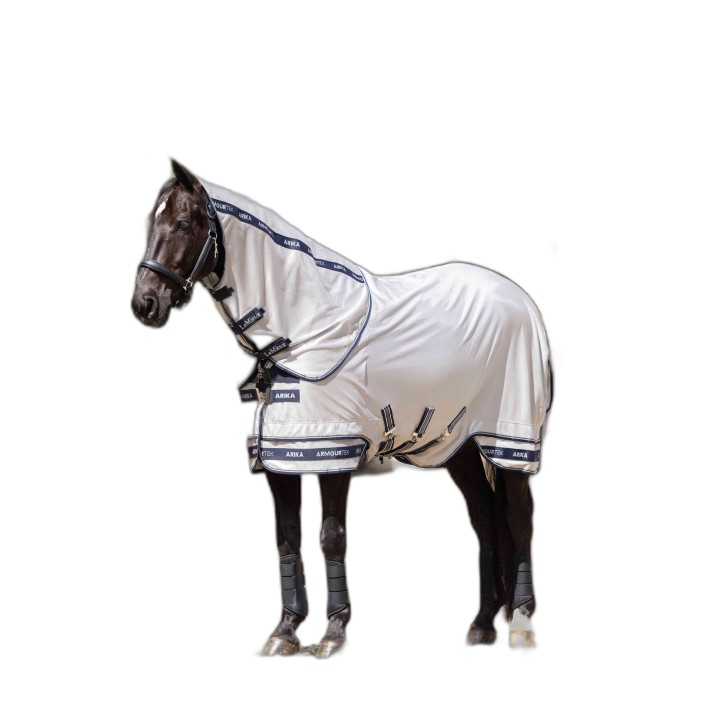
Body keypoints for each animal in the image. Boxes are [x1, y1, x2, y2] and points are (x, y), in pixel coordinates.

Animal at [131, 160, 552, 657]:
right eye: (151, 223)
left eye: (181, 223)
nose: (144, 303)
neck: (305, 329)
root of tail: (522, 301)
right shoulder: (280, 459)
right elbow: (287, 539)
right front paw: (285, 631)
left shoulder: (334, 451)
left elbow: (331, 537)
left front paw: (333, 632)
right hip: (461, 447)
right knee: (486, 520)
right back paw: (483, 624)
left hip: (509, 441)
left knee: (519, 519)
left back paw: (521, 623)